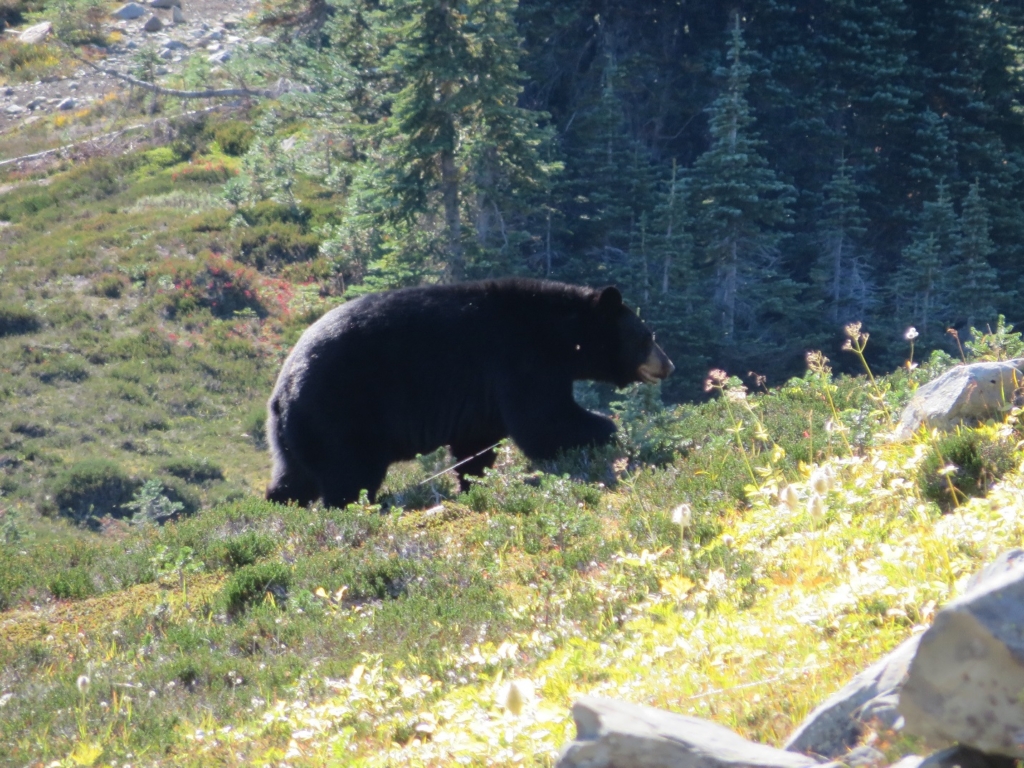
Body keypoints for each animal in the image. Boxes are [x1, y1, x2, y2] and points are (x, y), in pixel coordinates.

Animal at [268, 280, 675, 507]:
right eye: (648, 337)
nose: (669, 365)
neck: (562, 334)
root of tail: (282, 389)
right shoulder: (520, 357)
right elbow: (544, 420)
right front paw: (608, 432)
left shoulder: (480, 395)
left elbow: (477, 443)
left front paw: (473, 483)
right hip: (340, 411)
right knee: (349, 474)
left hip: (295, 433)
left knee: (293, 477)